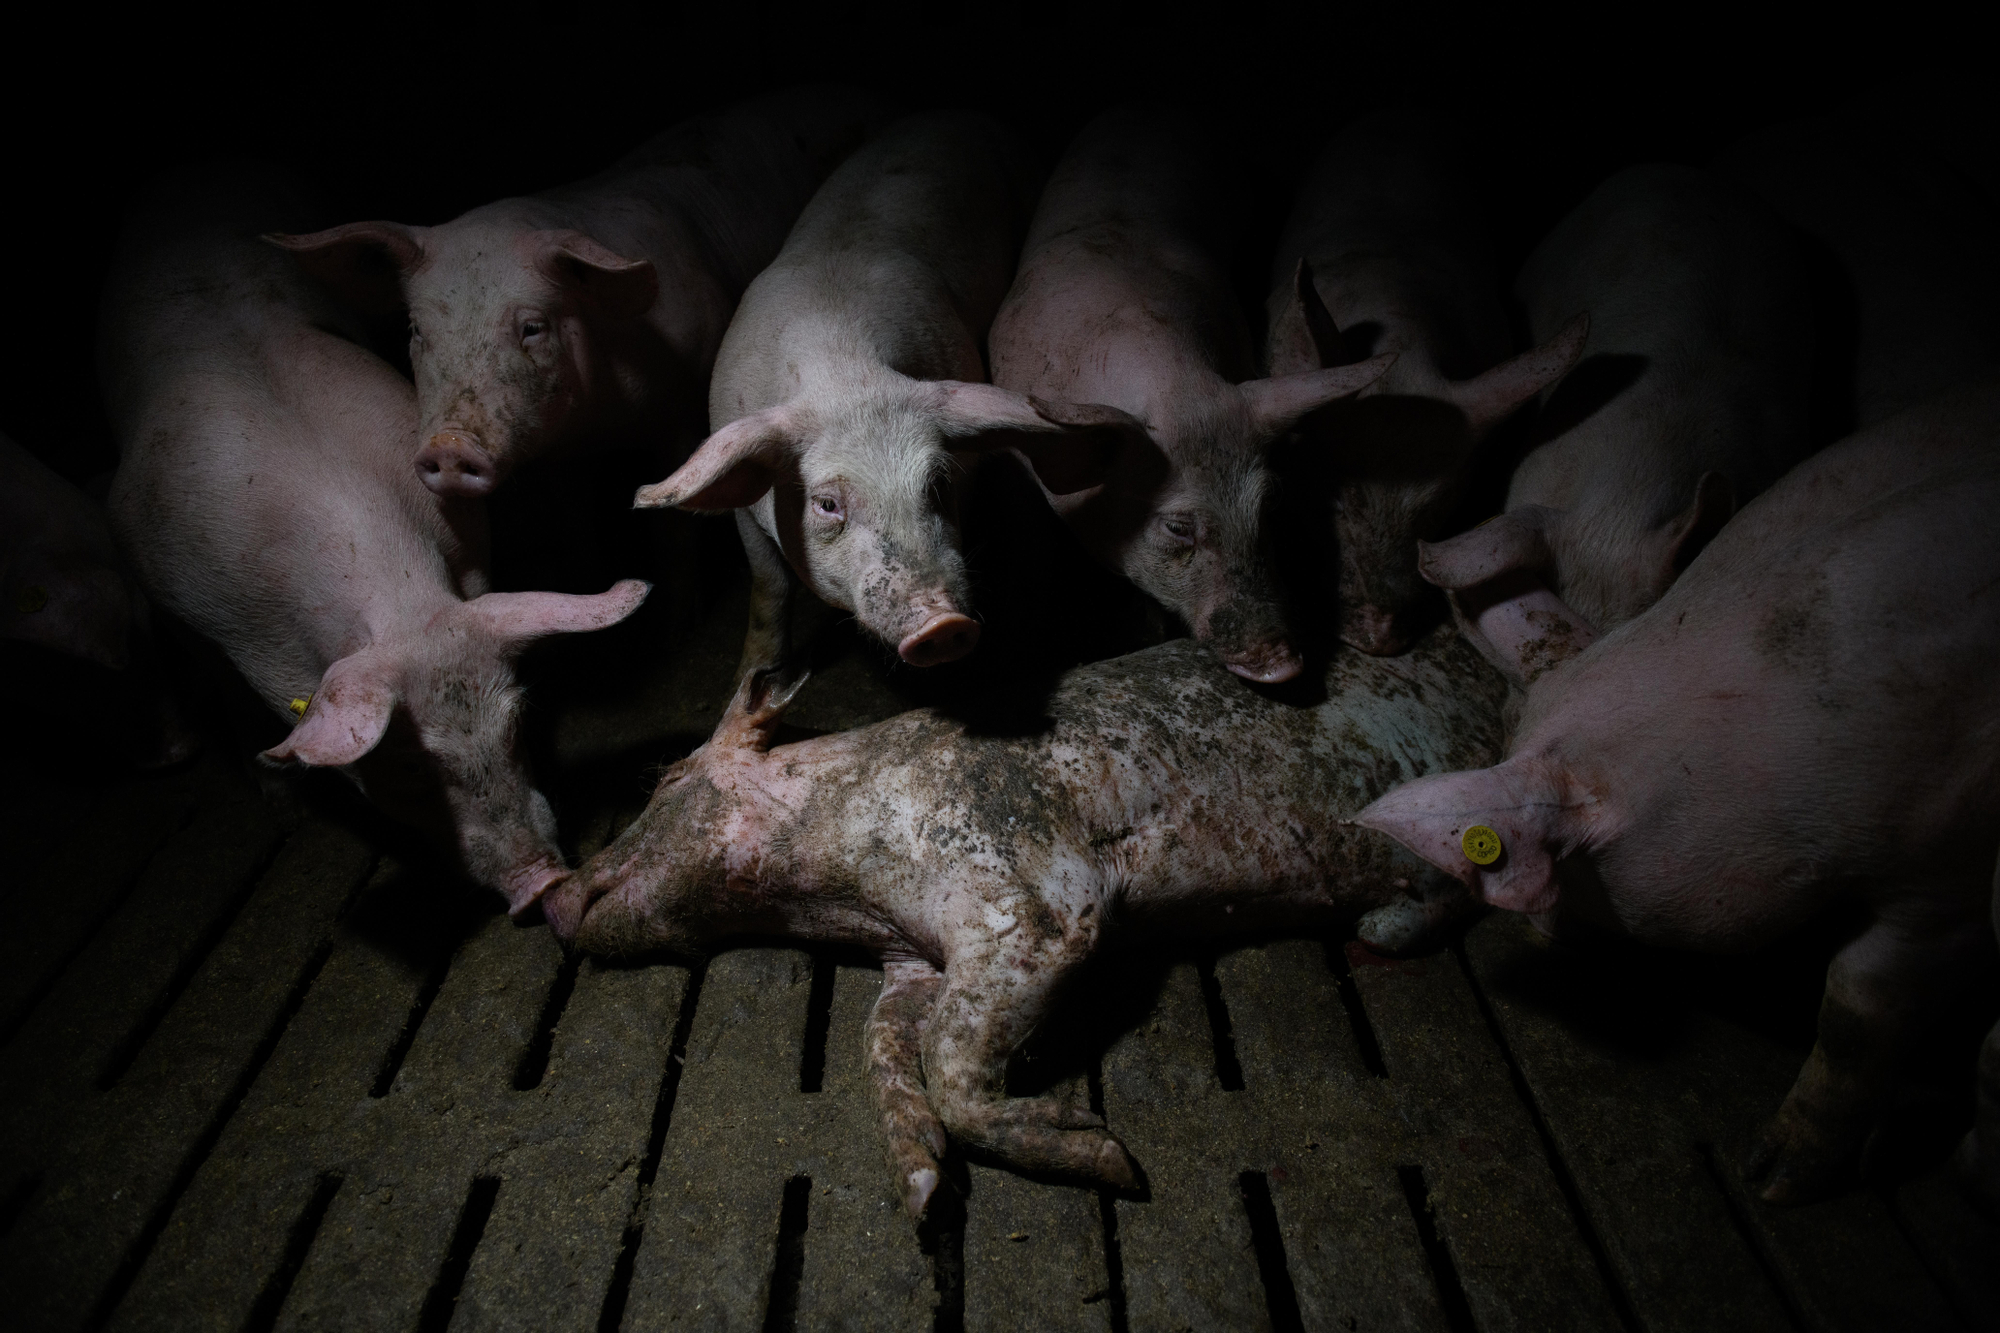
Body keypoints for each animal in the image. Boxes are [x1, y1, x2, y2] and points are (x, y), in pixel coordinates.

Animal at [101, 165, 647, 913]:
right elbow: (234, 705)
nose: (542, 882)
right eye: (411, 768)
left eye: (517, 724)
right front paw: (284, 808)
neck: (393, 593)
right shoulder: (174, 600)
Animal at [545, 625, 1505, 1217]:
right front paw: (923, 1190)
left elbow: (953, 1054)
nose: (549, 896)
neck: (845, 890)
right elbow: (883, 1043)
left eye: (665, 778)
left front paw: (1108, 1154)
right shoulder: (914, 961)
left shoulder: (1032, 892)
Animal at [631, 112, 1117, 673]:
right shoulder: (745, 512)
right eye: (826, 504)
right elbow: (770, 587)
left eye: (937, 484)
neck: (846, 374)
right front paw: (757, 675)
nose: (943, 625)